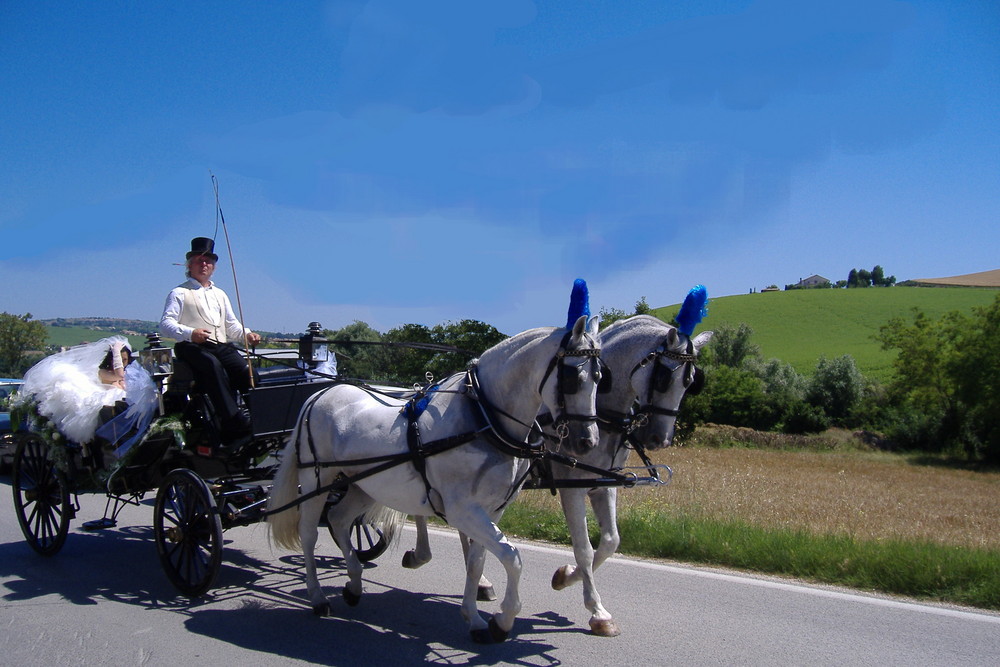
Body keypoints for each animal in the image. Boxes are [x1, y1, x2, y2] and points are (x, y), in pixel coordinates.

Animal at [266, 316, 600, 644]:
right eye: (572, 377)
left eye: (600, 377)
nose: (588, 442)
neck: (483, 416)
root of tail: (318, 395)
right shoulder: (462, 510)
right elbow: (512, 556)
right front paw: (503, 621)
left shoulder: (492, 510)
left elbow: (477, 562)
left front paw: (475, 619)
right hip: (315, 479)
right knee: (309, 532)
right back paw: (318, 597)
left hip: (365, 484)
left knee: (338, 518)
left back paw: (354, 584)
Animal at [404, 316, 712, 640]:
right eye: (664, 377)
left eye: (691, 382)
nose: (660, 439)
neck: (603, 416)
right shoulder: (572, 489)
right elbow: (584, 549)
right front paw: (596, 610)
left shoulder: (602, 486)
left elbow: (610, 541)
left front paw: (566, 578)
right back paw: (422, 555)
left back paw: (480, 584)